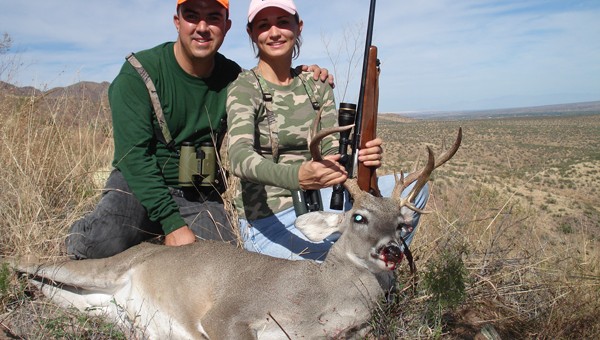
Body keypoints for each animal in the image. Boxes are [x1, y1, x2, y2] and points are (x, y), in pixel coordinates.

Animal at [9, 126, 462, 338]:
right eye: (359, 218)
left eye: (402, 224)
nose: (392, 251)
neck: (322, 302)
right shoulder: (229, 311)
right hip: (103, 267)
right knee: (26, 260)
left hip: (102, 304)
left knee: (55, 290)